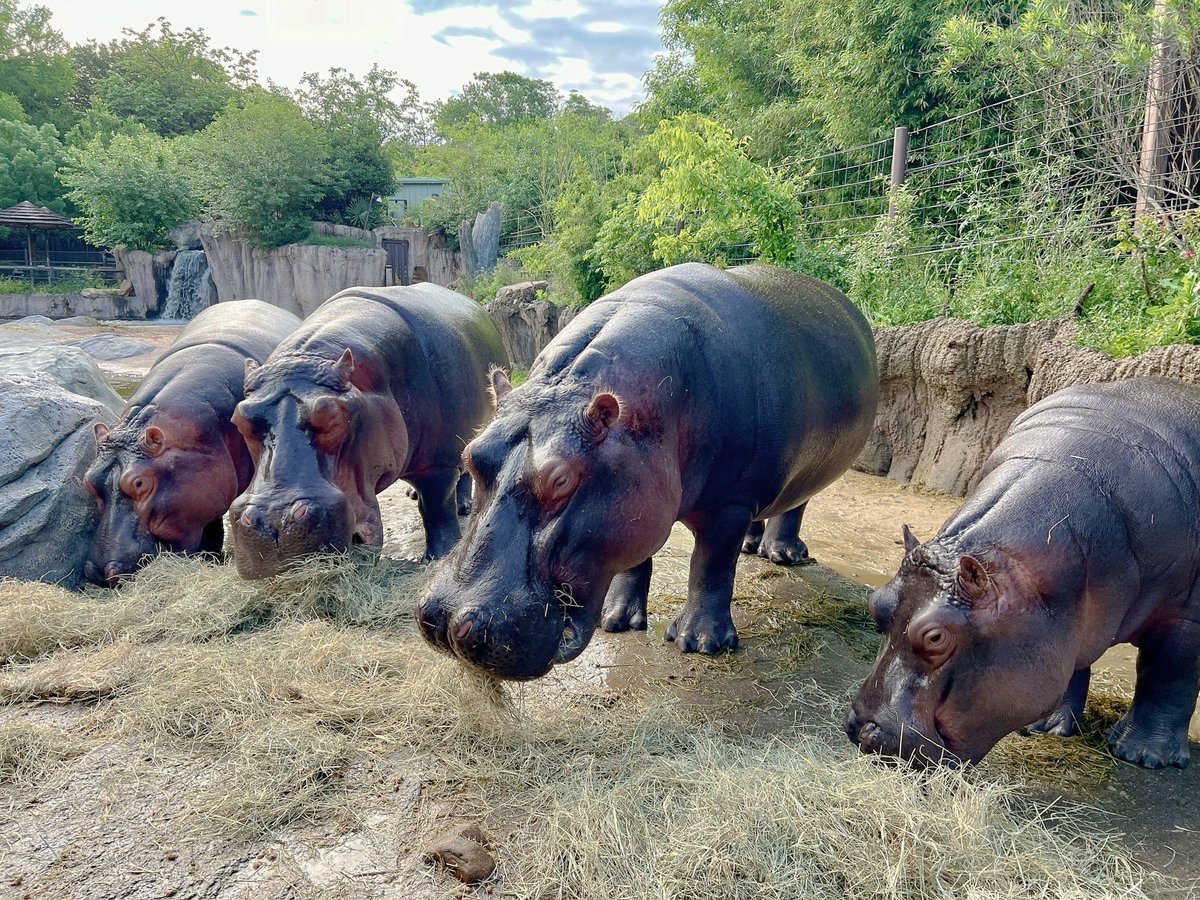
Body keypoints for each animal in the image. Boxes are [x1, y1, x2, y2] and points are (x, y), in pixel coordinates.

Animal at [228, 283, 506, 578]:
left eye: (333, 414)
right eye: (240, 417)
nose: (274, 523)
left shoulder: (437, 463)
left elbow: (436, 507)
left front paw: (437, 557)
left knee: (461, 473)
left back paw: (462, 506)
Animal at [417, 264, 878, 681]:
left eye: (562, 480)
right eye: (472, 456)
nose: (445, 622)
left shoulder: (731, 501)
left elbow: (711, 564)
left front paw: (699, 643)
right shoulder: (638, 493)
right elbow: (634, 559)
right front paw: (616, 620)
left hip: (806, 468)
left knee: (794, 504)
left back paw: (783, 555)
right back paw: (753, 545)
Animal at [849, 376, 1200, 772]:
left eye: (935, 637)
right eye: (876, 603)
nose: (860, 729)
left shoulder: (1186, 617)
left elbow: (1168, 675)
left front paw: (1143, 756)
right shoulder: (1066, 617)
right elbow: (1071, 663)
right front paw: (1043, 727)